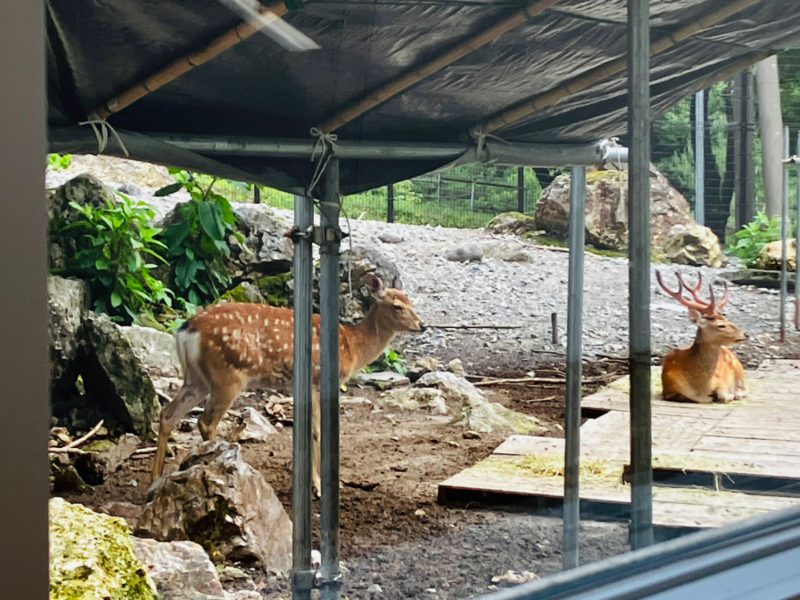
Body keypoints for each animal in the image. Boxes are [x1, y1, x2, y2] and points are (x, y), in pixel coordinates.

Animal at [150, 274, 424, 494]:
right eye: (397, 306)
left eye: (412, 302)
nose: (422, 325)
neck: (352, 346)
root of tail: (186, 330)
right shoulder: (317, 380)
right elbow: (316, 431)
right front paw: (319, 486)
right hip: (226, 375)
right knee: (205, 421)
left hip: (197, 378)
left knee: (168, 414)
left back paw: (155, 480)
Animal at [656, 270, 752, 404]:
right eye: (721, 325)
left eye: (728, 319)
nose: (745, 334)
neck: (700, 387)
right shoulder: (669, 389)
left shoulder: (720, 380)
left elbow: (723, 395)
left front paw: (729, 395)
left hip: (739, 369)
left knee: (745, 389)